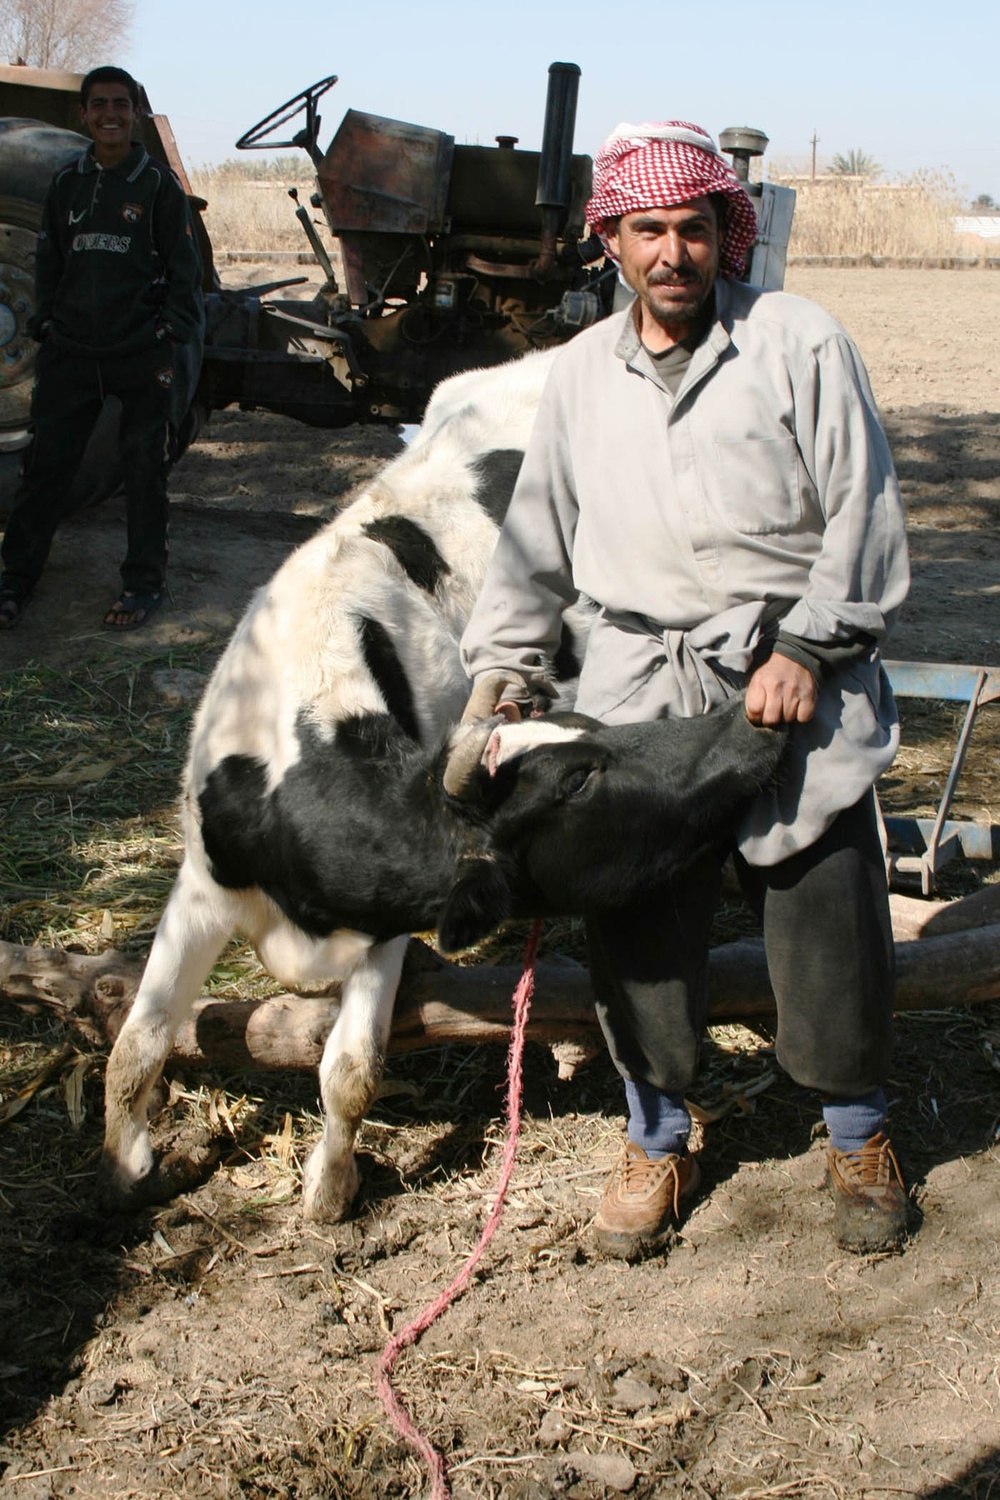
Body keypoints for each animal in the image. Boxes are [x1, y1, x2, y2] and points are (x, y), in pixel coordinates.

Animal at [103, 351, 791, 1218]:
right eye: (579, 777)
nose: (745, 732)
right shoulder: (204, 880)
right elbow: (137, 1037)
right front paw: (125, 1164)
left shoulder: (392, 921)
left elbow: (351, 1070)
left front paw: (329, 1193)